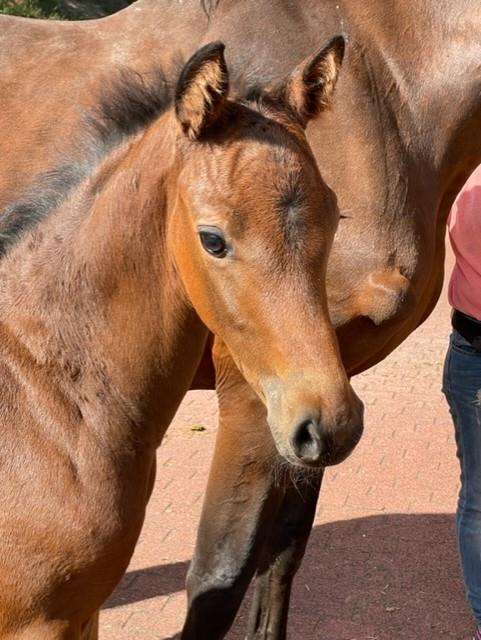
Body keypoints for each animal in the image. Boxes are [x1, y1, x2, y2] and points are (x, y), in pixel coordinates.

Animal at [0, 0, 478, 636]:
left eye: (335, 216)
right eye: (213, 239)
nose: (334, 420)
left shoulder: (321, 398)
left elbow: (283, 554)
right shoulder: (252, 392)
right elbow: (220, 577)